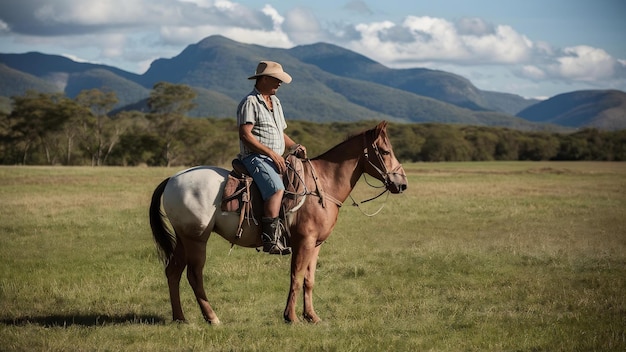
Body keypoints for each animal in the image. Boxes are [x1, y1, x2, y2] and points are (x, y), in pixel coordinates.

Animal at [149, 121, 408, 324]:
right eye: (385, 151)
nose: (402, 183)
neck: (322, 186)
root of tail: (172, 179)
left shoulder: (315, 245)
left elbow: (309, 280)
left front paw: (312, 316)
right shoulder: (304, 242)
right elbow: (296, 277)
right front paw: (291, 317)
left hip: (183, 238)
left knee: (173, 272)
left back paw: (180, 318)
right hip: (196, 239)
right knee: (194, 275)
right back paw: (212, 317)